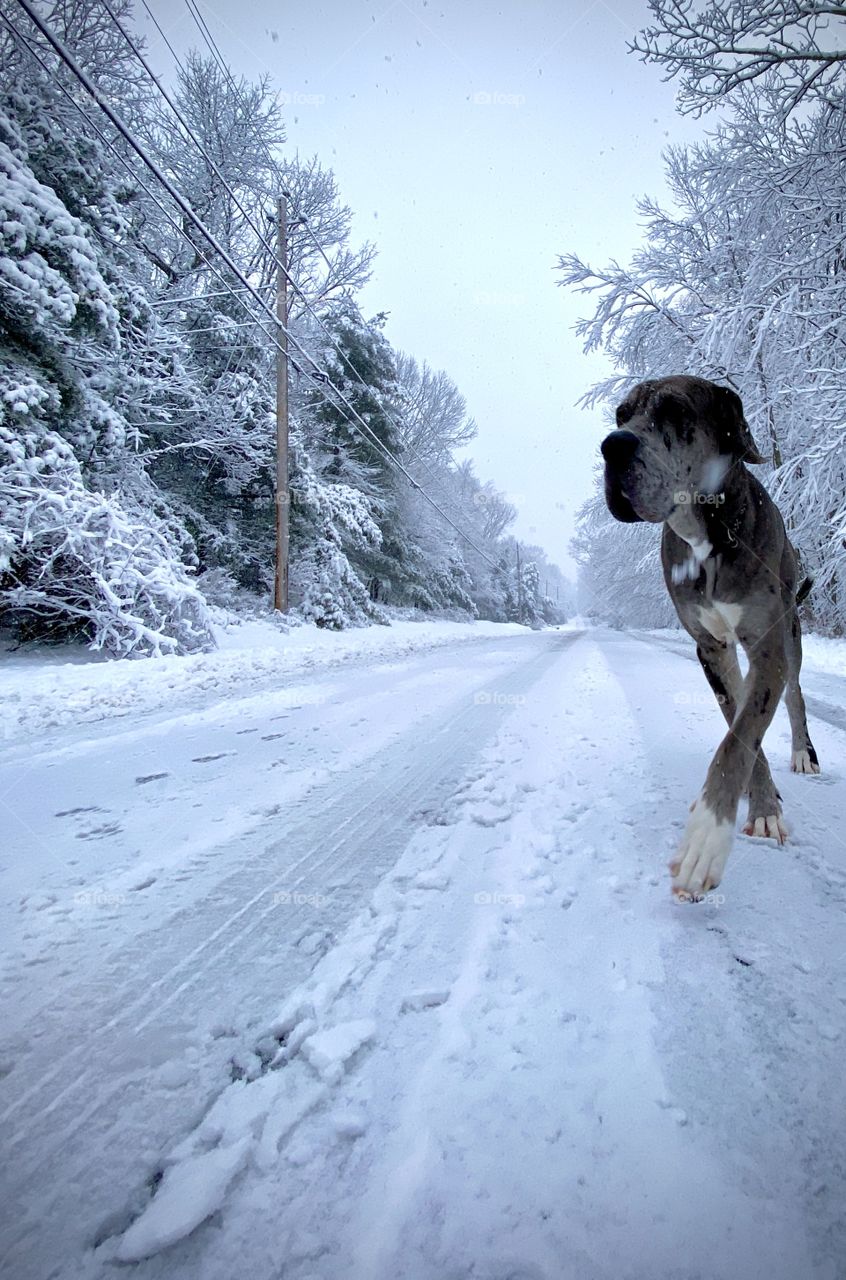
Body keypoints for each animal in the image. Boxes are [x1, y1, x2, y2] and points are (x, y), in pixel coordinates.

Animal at [601, 373, 819, 906]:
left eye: (676, 411)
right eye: (621, 414)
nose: (612, 446)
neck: (707, 535)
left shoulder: (766, 644)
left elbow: (739, 738)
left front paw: (707, 838)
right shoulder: (711, 649)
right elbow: (739, 726)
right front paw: (761, 801)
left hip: (791, 630)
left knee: (796, 696)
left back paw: (803, 753)